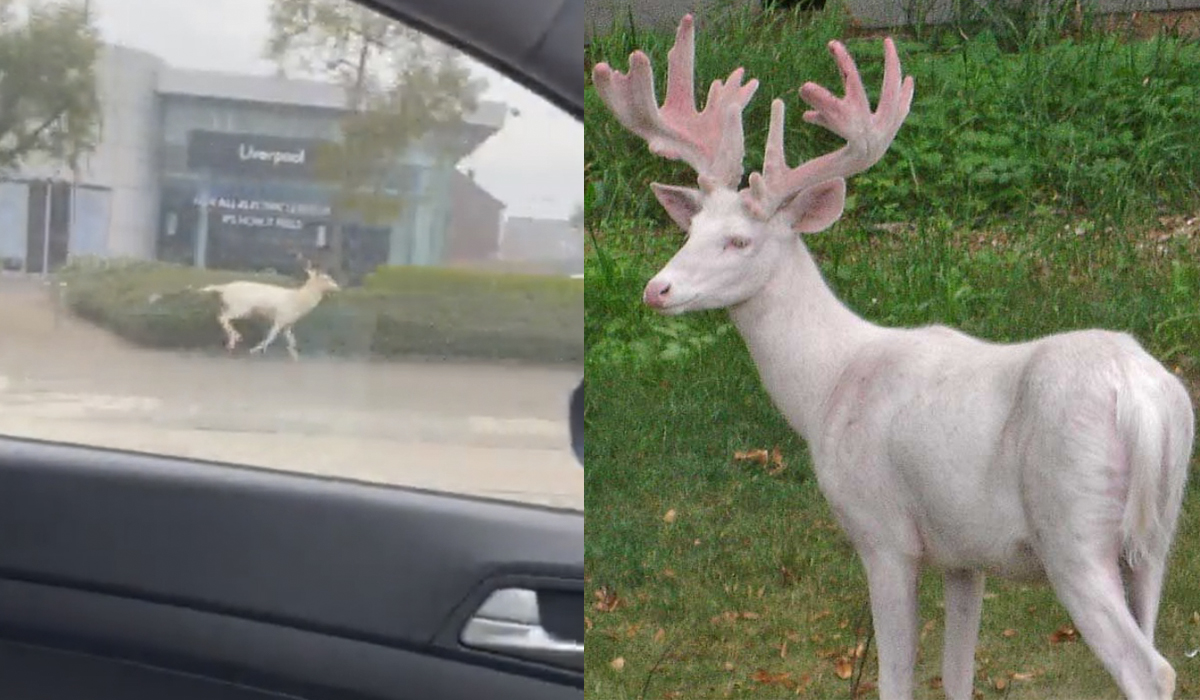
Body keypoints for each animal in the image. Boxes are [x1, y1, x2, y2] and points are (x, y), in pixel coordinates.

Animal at [198, 261, 338, 362]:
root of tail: (224, 288)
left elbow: (292, 341)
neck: (298, 299)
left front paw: (295, 357)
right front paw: (255, 350)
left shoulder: (287, 324)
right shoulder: (279, 319)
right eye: (326, 278)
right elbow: (271, 337)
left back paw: (231, 342)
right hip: (239, 308)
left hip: (231, 307)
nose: (338, 287)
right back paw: (235, 338)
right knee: (222, 317)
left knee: (222, 317)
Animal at [595, 16, 1195, 700]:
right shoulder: (965, 555)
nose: (657, 289)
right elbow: (957, 674)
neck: (827, 386)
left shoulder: (881, 531)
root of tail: (1142, 399)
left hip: (1073, 527)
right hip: (1156, 533)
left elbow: (895, 676)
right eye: (689, 231)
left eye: (738, 241)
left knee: (1150, 668)